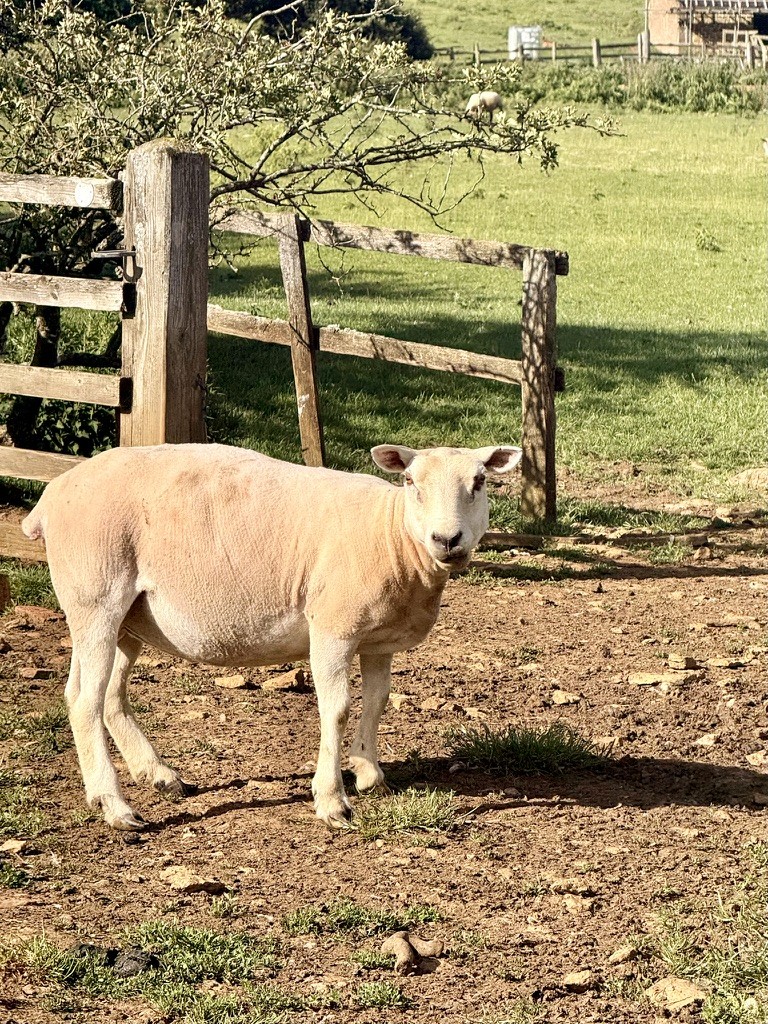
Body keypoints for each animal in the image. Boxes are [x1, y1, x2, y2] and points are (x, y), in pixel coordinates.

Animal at [22, 441, 522, 831]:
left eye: (480, 482)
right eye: (411, 482)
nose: (447, 539)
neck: (391, 536)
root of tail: (51, 495)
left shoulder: (377, 639)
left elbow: (377, 700)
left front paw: (368, 772)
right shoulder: (332, 627)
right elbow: (337, 709)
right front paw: (332, 800)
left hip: (127, 617)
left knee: (105, 695)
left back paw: (159, 775)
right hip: (95, 595)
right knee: (85, 701)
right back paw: (114, 805)